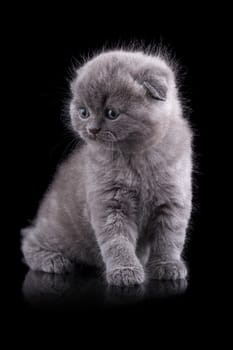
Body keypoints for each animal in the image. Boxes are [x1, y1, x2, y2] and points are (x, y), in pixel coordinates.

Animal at [20, 47, 192, 286]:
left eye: (112, 113)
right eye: (84, 112)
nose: (92, 129)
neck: (137, 158)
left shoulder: (173, 201)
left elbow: (169, 239)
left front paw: (168, 265)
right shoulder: (109, 203)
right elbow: (117, 241)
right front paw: (125, 271)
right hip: (59, 230)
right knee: (29, 239)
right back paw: (53, 260)